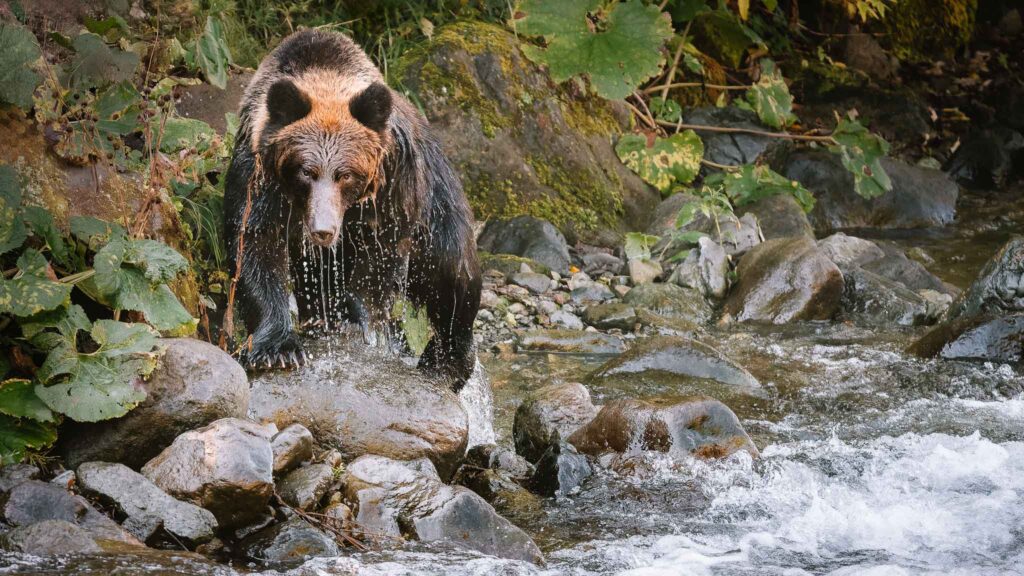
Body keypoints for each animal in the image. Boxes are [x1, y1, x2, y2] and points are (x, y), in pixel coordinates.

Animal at [224, 29, 481, 389]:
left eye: (345, 174)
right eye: (306, 171)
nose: (323, 230)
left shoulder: (393, 179)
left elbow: (381, 251)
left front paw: (361, 317)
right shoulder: (258, 175)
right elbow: (256, 244)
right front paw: (279, 349)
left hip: (440, 204)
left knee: (452, 271)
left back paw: (446, 360)